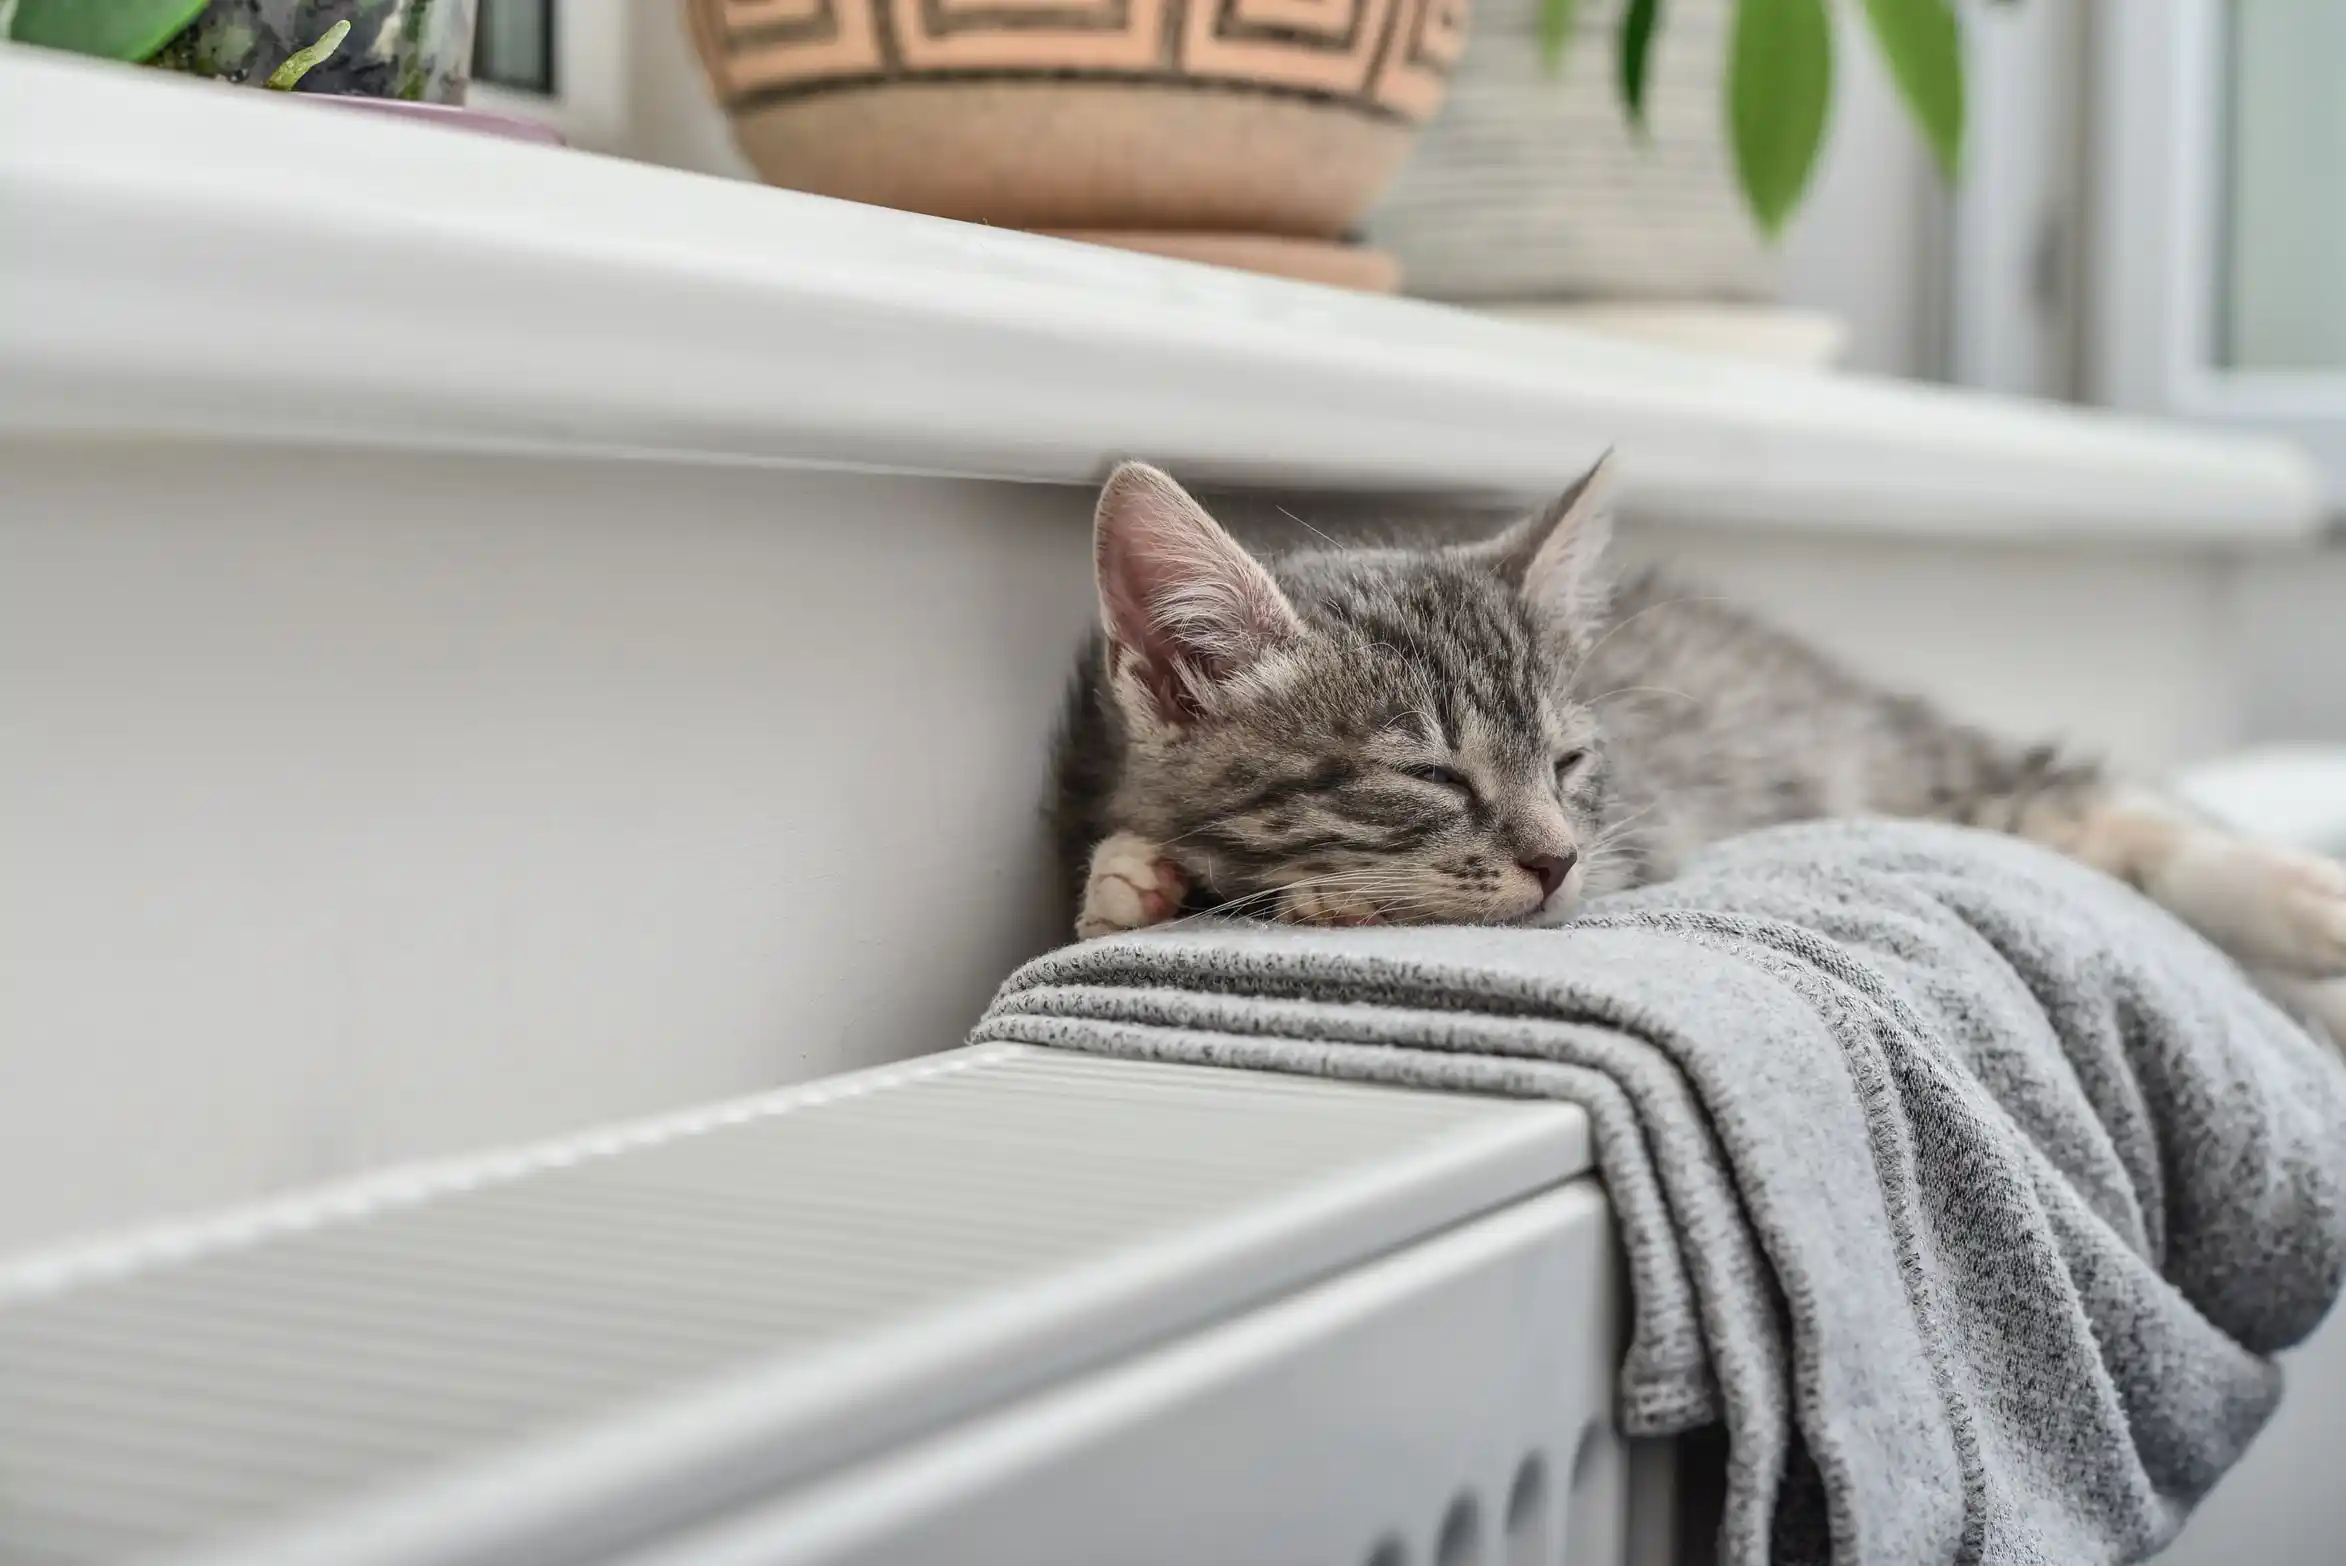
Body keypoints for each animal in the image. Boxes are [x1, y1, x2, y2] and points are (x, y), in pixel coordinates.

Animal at [1055, 454, 2346, 1003]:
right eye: (1429, 774)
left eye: (1569, 764)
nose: (1555, 858)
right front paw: (1133, 879)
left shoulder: (1643, 828)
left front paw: (1328, 898)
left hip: (1906, 760)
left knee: (2093, 801)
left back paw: (2299, 899)